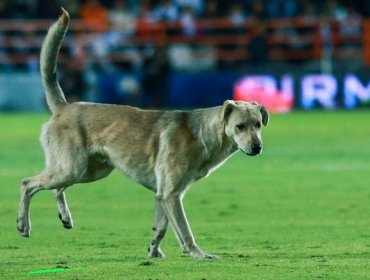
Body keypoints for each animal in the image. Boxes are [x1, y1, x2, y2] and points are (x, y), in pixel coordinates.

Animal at [16, 8, 268, 260]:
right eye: (240, 126)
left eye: (257, 125)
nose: (257, 147)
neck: (200, 135)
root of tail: (64, 107)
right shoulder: (170, 194)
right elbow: (184, 231)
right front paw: (198, 254)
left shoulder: (164, 194)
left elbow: (162, 228)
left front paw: (154, 251)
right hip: (72, 168)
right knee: (28, 183)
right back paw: (23, 224)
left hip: (90, 170)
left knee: (56, 188)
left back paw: (65, 218)